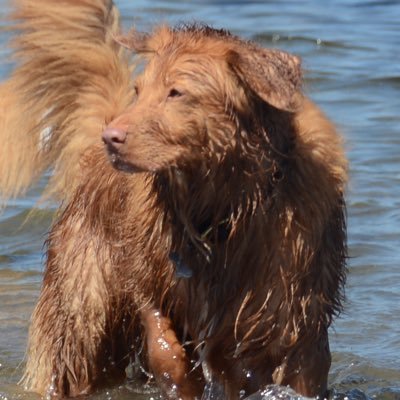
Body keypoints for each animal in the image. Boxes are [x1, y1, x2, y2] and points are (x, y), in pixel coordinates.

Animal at [0, 1, 346, 398]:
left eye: (176, 92)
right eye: (139, 90)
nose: (111, 137)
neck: (222, 209)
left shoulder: (295, 311)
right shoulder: (151, 279)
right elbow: (166, 346)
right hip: (83, 308)